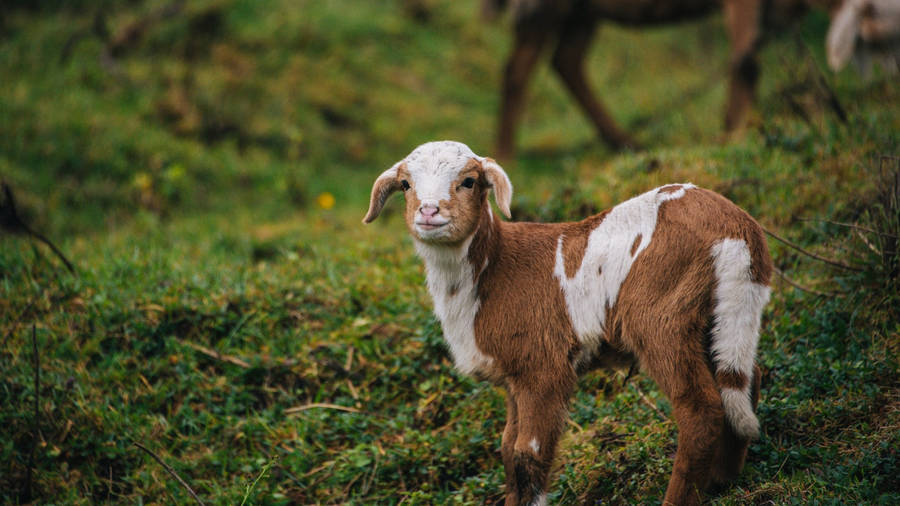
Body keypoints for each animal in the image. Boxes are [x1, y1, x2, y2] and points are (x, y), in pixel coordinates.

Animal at [364, 140, 773, 505]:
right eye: (406, 185)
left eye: (468, 181)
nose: (429, 212)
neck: (493, 269)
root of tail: (735, 230)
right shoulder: (514, 376)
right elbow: (508, 449)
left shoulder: (543, 367)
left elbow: (529, 453)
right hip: (726, 316)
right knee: (744, 382)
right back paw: (723, 481)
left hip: (663, 315)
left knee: (700, 409)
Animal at [485, 0, 890, 160]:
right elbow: (745, 61)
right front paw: (734, 136)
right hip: (544, 6)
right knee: (518, 69)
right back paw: (505, 153)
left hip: (582, 9)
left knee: (566, 60)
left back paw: (625, 141)